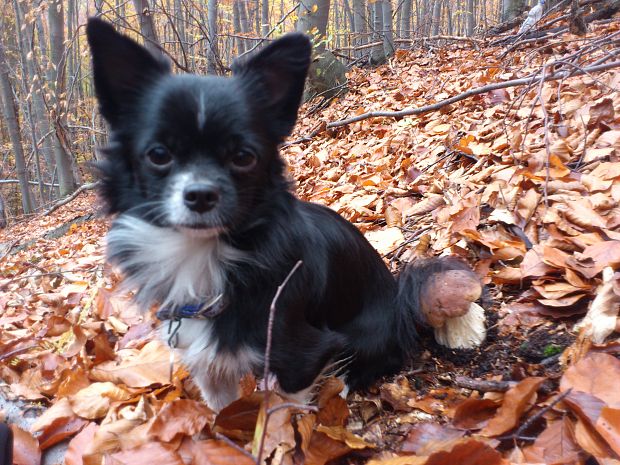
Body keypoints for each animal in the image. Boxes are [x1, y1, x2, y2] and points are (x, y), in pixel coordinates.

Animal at [87, 18, 484, 410]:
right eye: (158, 155)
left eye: (243, 157)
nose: (200, 195)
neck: (204, 255)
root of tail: (400, 303)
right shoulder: (208, 360)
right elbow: (222, 411)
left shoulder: (302, 352)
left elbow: (289, 411)